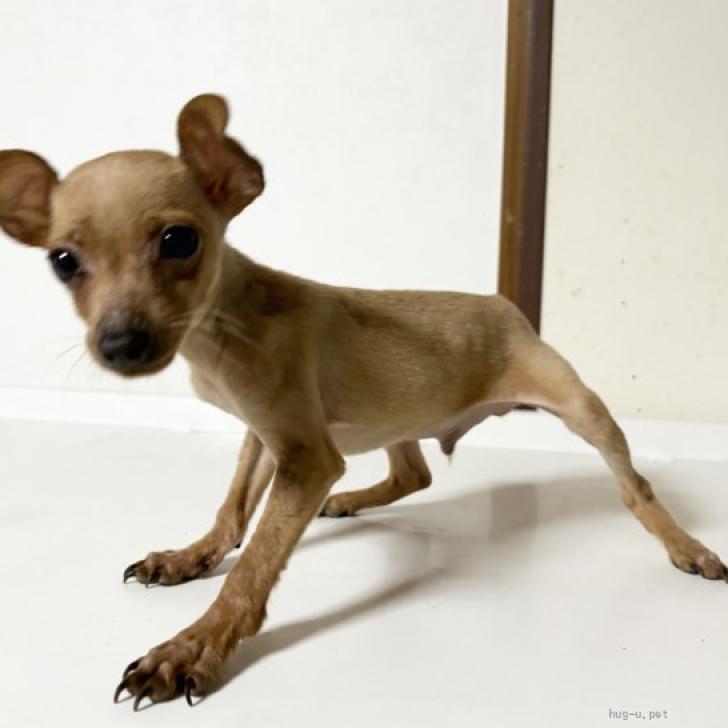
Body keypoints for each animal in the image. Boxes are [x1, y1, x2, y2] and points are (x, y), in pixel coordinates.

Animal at [0, 94, 725, 711]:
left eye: (180, 240)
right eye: (63, 261)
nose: (120, 344)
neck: (224, 328)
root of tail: (506, 306)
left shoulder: (305, 457)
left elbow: (253, 566)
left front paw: (192, 646)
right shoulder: (266, 437)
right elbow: (233, 514)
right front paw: (189, 558)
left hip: (581, 408)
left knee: (635, 488)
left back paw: (685, 544)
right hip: (390, 419)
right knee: (415, 473)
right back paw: (349, 499)